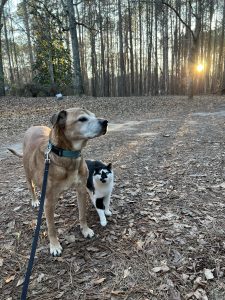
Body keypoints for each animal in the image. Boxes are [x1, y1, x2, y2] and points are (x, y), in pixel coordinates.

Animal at [8, 108, 107, 255]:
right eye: (82, 119)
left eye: (94, 116)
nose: (105, 122)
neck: (67, 157)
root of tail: (33, 127)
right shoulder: (48, 201)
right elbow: (51, 227)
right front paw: (54, 245)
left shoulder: (81, 190)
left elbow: (82, 214)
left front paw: (85, 230)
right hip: (28, 174)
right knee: (31, 187)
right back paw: (35, 200)